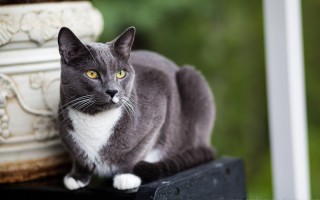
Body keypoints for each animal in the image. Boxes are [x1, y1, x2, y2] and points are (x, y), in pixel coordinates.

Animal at [58, 26, 215, 191]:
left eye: (120, 73)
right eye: (92, 73)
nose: (112, 91)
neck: (96, 119)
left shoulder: (160, 91)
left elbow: (140, 148)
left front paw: (127, 175)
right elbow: (77, 155)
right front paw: (77, 177)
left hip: (192, 80)